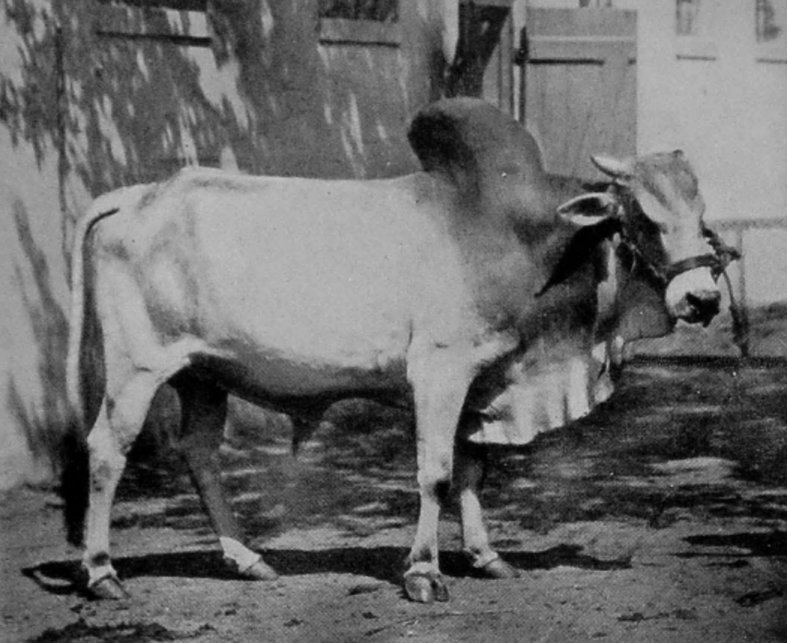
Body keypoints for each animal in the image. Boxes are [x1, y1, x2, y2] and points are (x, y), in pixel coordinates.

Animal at [64, 98, 732, 603]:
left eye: (701, 212)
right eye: (641, 215)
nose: (701, 298)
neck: (516, 234)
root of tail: (139, 195)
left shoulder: (480, 381)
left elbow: (472, 469)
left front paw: (486, 556)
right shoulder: (441, 370)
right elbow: (435, 473)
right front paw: (423, 571)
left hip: (203, 373)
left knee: (200, 454)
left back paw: (248, 558)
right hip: (137, 370)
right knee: (106, 452)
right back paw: (101, 572)